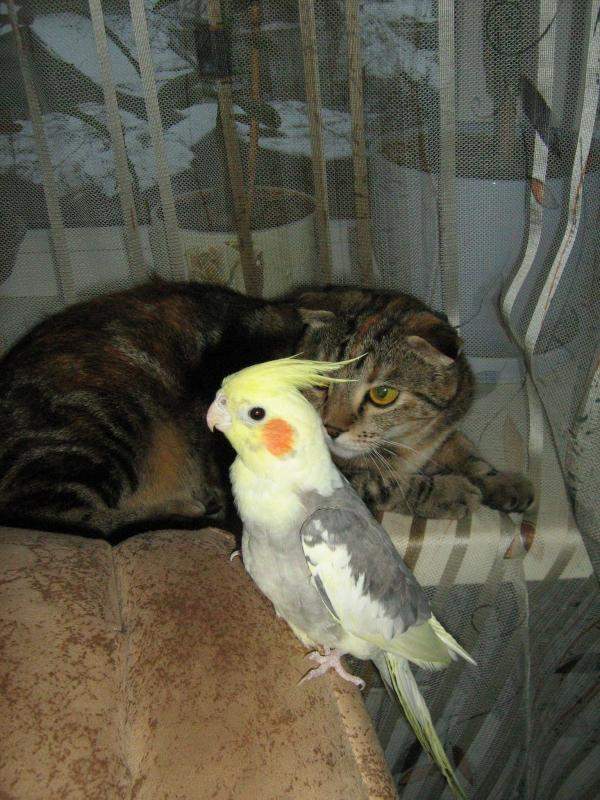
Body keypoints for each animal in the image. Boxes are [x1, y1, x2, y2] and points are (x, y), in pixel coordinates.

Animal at [0, 280, 533, 540]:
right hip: (100, 428)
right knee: (54, 516)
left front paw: (502, 480)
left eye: (382, 394)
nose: (332, 429)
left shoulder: (437, 434)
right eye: (319, 381)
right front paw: (449, 492)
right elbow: (385, 483)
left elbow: (462, 449)